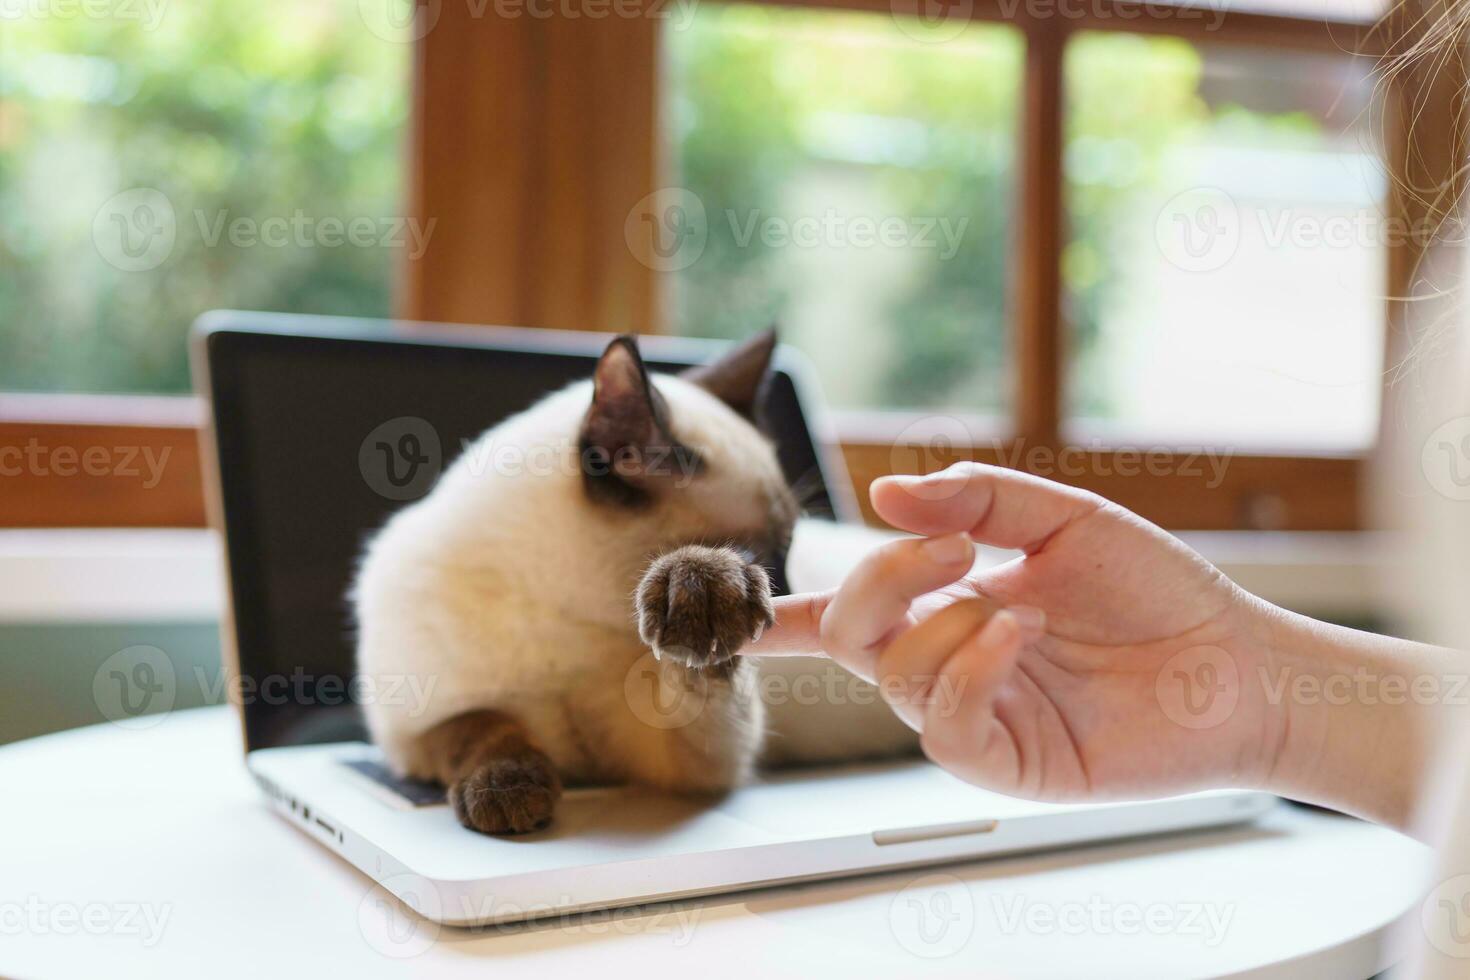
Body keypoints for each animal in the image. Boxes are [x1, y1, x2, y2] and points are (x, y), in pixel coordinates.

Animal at [352, 332, 905, 834]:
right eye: (765, 561)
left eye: (786, 552)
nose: (792, 599)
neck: (565, 619)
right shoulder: (412, 730)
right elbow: (482, 726)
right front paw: (507, 791)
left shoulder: (678, 762)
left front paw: (702, 589)